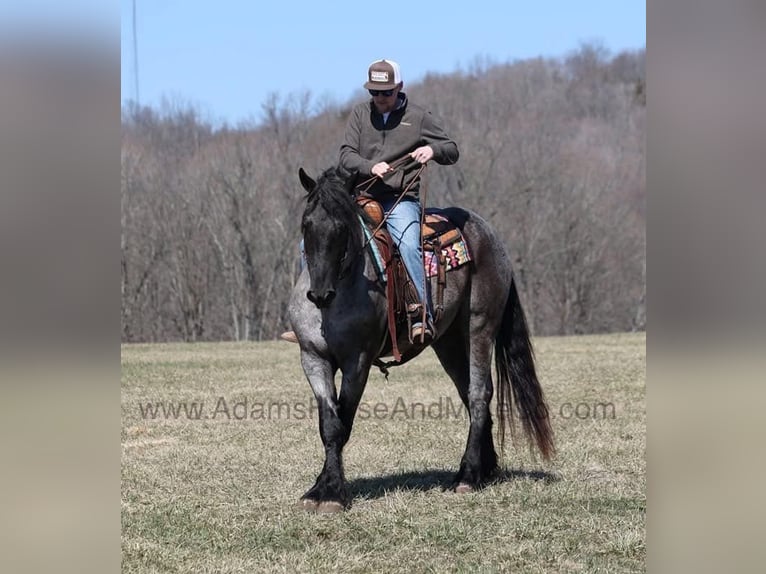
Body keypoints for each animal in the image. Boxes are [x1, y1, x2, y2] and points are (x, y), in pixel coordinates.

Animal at [287, 166, 555, 513]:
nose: (320, 293)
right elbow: (329, 424)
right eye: (307, 224)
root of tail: (490, 235)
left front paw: (333, 493)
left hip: (480, 326)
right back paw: (485, 469)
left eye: (342, 227)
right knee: (471, 393)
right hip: (448, 341)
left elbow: (342, 423)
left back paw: (467, 476)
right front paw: (320, 488)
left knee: (479, 393)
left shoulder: (357, 362)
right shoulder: (313, 358)